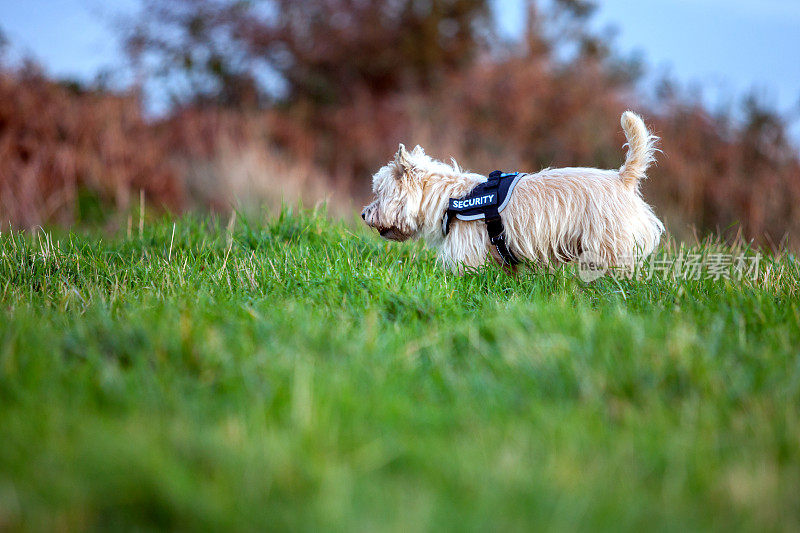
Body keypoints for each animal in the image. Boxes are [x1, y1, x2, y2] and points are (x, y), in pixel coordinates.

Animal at [360, 110, 664, 272]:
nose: (363, 214)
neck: (449, 198)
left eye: (379, 192)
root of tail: (622, 178)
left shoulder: (467, 253)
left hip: (608, 246)